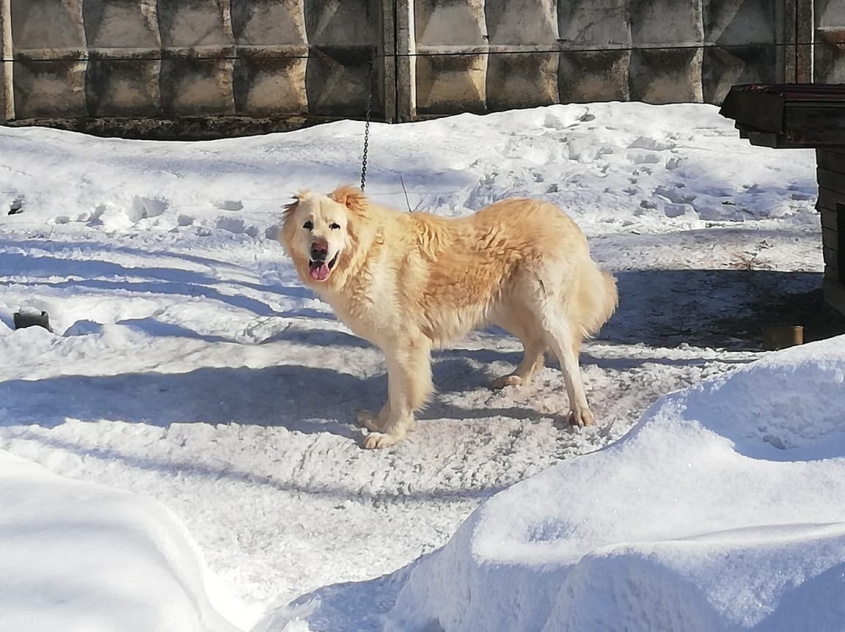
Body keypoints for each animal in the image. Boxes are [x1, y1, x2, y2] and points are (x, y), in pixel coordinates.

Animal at [280, 185, 616, 446]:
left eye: (335, 226)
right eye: (308, 225)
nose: (319, 249)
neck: (365, 255)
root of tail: (563, 218)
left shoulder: (406, 344)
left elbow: (402, 396)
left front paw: (390, 435)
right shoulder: (396, 347)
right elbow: (395, 392)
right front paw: (379, 421)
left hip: (544, 307)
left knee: (567, 356)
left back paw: (579, 411)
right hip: (506, 307)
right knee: (535, 343)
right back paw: (517, 378)